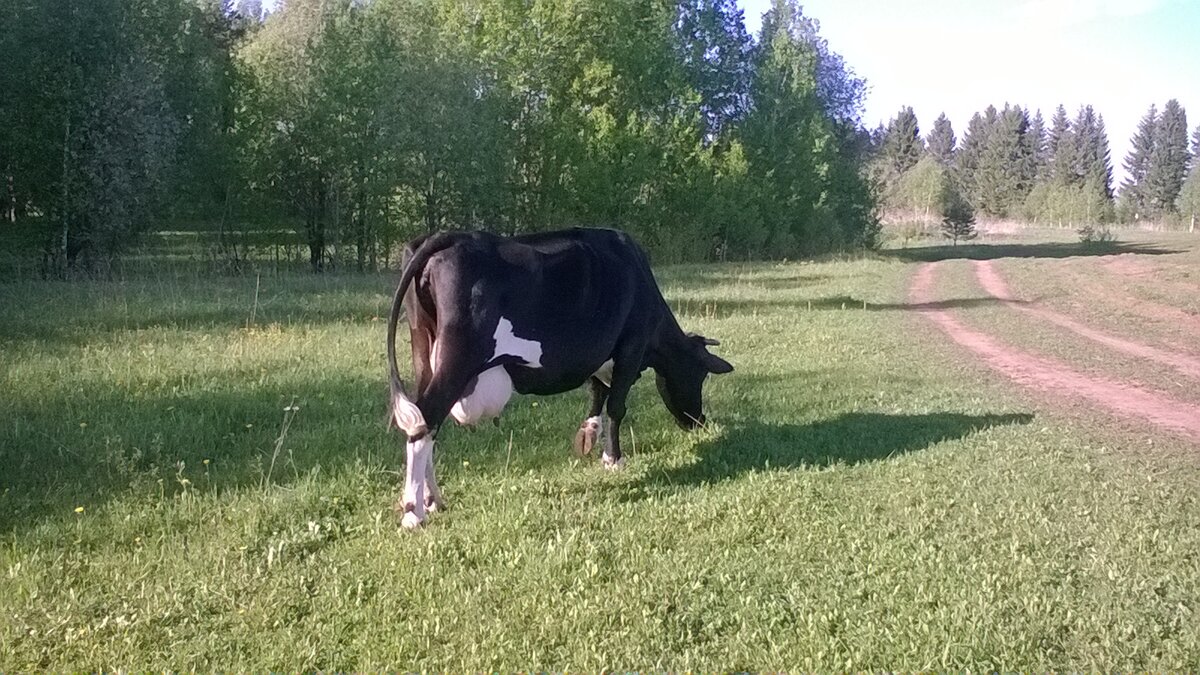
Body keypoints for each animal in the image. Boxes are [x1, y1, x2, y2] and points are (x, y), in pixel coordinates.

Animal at [388, 225, 734, 526]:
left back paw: (433, 499)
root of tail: (450, 236)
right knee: (426, 418)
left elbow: (598, 392)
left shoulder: (598, 352)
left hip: (424, 349)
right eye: (700, 375)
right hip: (459, 357)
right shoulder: (631, 347)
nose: (698, 421)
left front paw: (589, 435)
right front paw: (613, 459)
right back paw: (414, 513)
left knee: (426, 421)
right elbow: (616, 406)